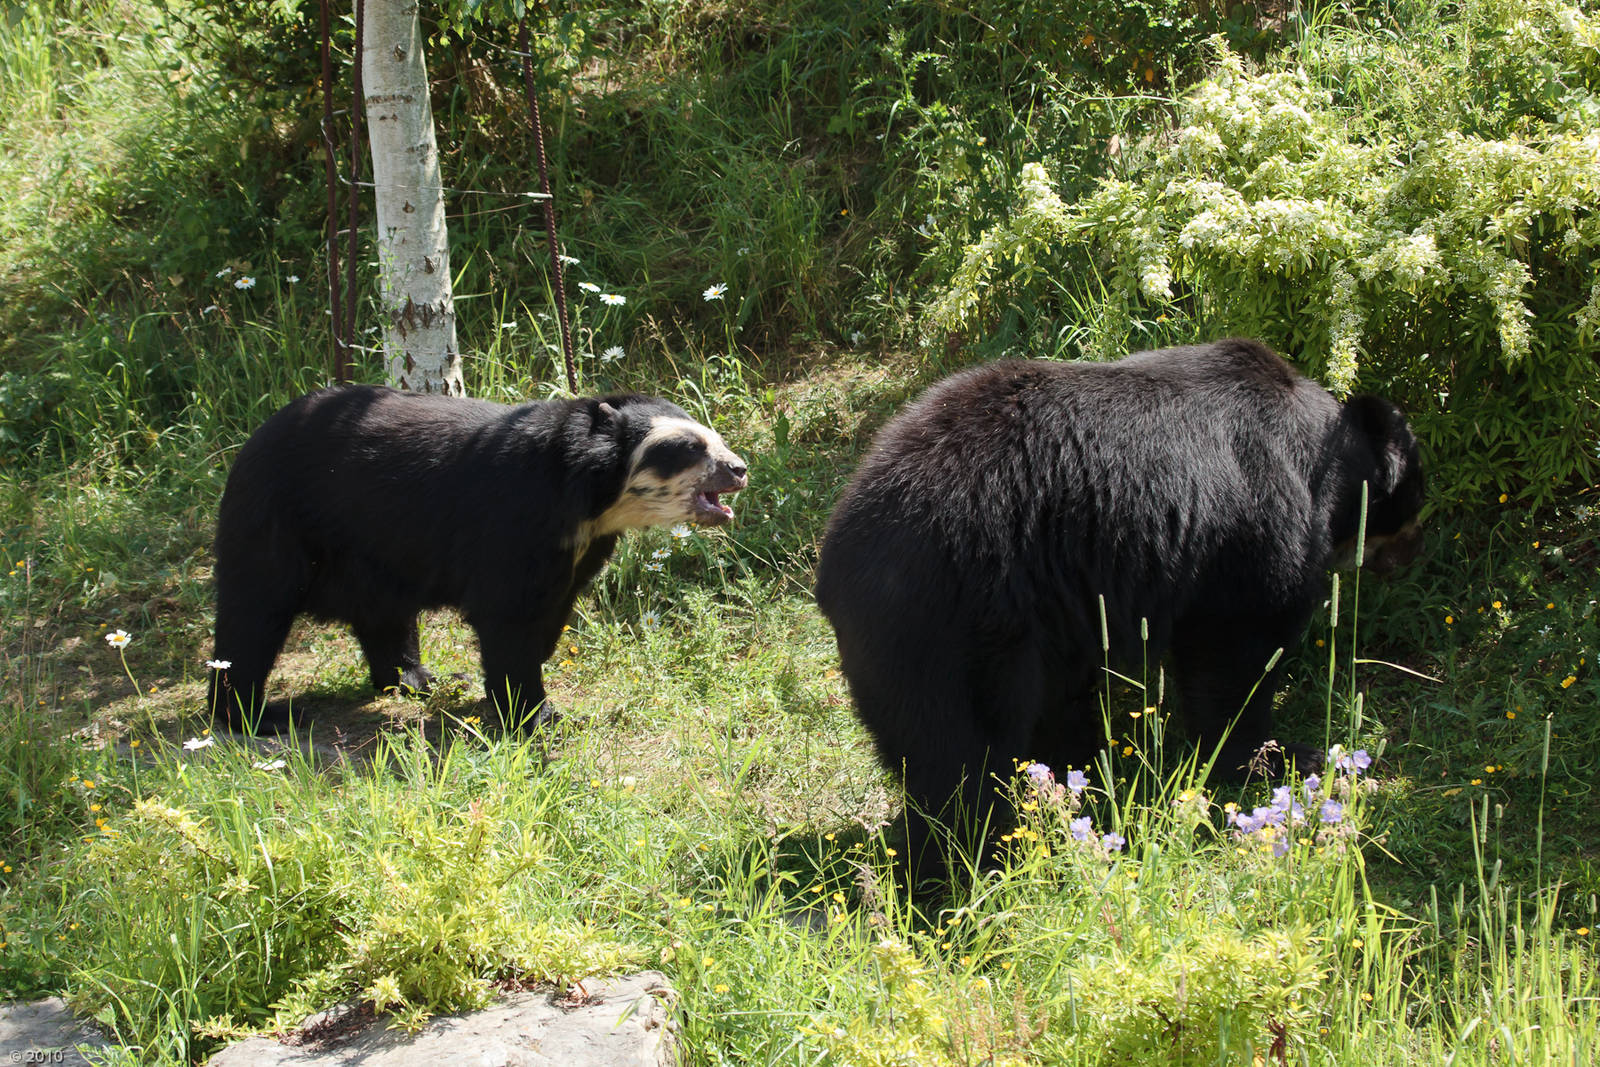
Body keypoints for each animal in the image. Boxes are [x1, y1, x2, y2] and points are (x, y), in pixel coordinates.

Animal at [207, 384, 747, 730]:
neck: (588, 501)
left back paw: (415, 679)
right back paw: (258, 716)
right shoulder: (512, 518)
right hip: (277, 518)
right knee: (254, 612)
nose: (740, 468)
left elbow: (548, 614)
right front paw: (536, 715)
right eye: (688, 447)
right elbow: (507, 616)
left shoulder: (577, 550)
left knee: (382, 615)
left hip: (374, 550)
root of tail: (249, 442)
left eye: (717, 441)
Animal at [814, 338, 1423, 874]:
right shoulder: (1258, 518)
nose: (1408, 560)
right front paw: (1278, 755)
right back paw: (972, 860)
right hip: (951, 624)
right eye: (1415, 507)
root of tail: (833, 567)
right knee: (959, 756)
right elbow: (1238, 650)